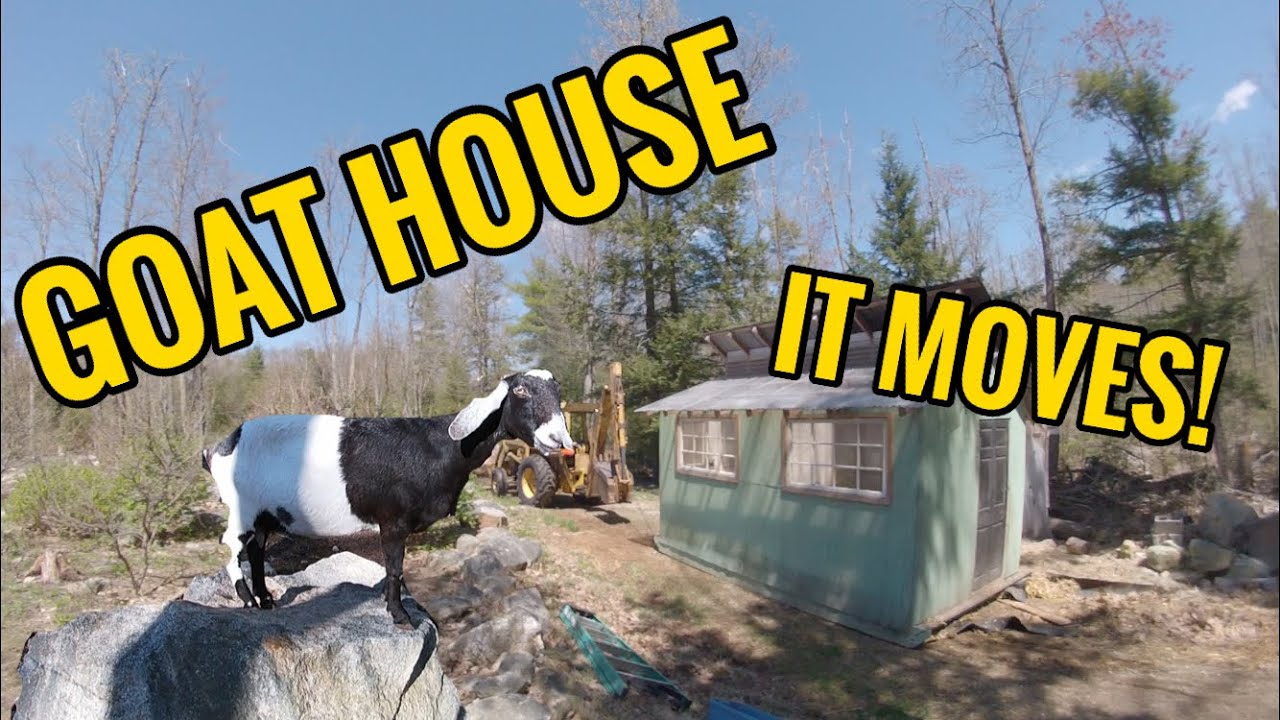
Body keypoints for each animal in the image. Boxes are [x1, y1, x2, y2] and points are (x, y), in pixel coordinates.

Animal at [201, 369, 574, 626]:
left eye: (559, 392)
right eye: (520, 390)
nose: (559, 440)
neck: (442, 446)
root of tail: (220, 447)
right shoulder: (393, 521)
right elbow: (394, 567)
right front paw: (399, 615)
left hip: (263, 514)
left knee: (256, 552)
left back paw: (266, 600)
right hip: (241, 509)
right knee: (232, 548)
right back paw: (247, 599)